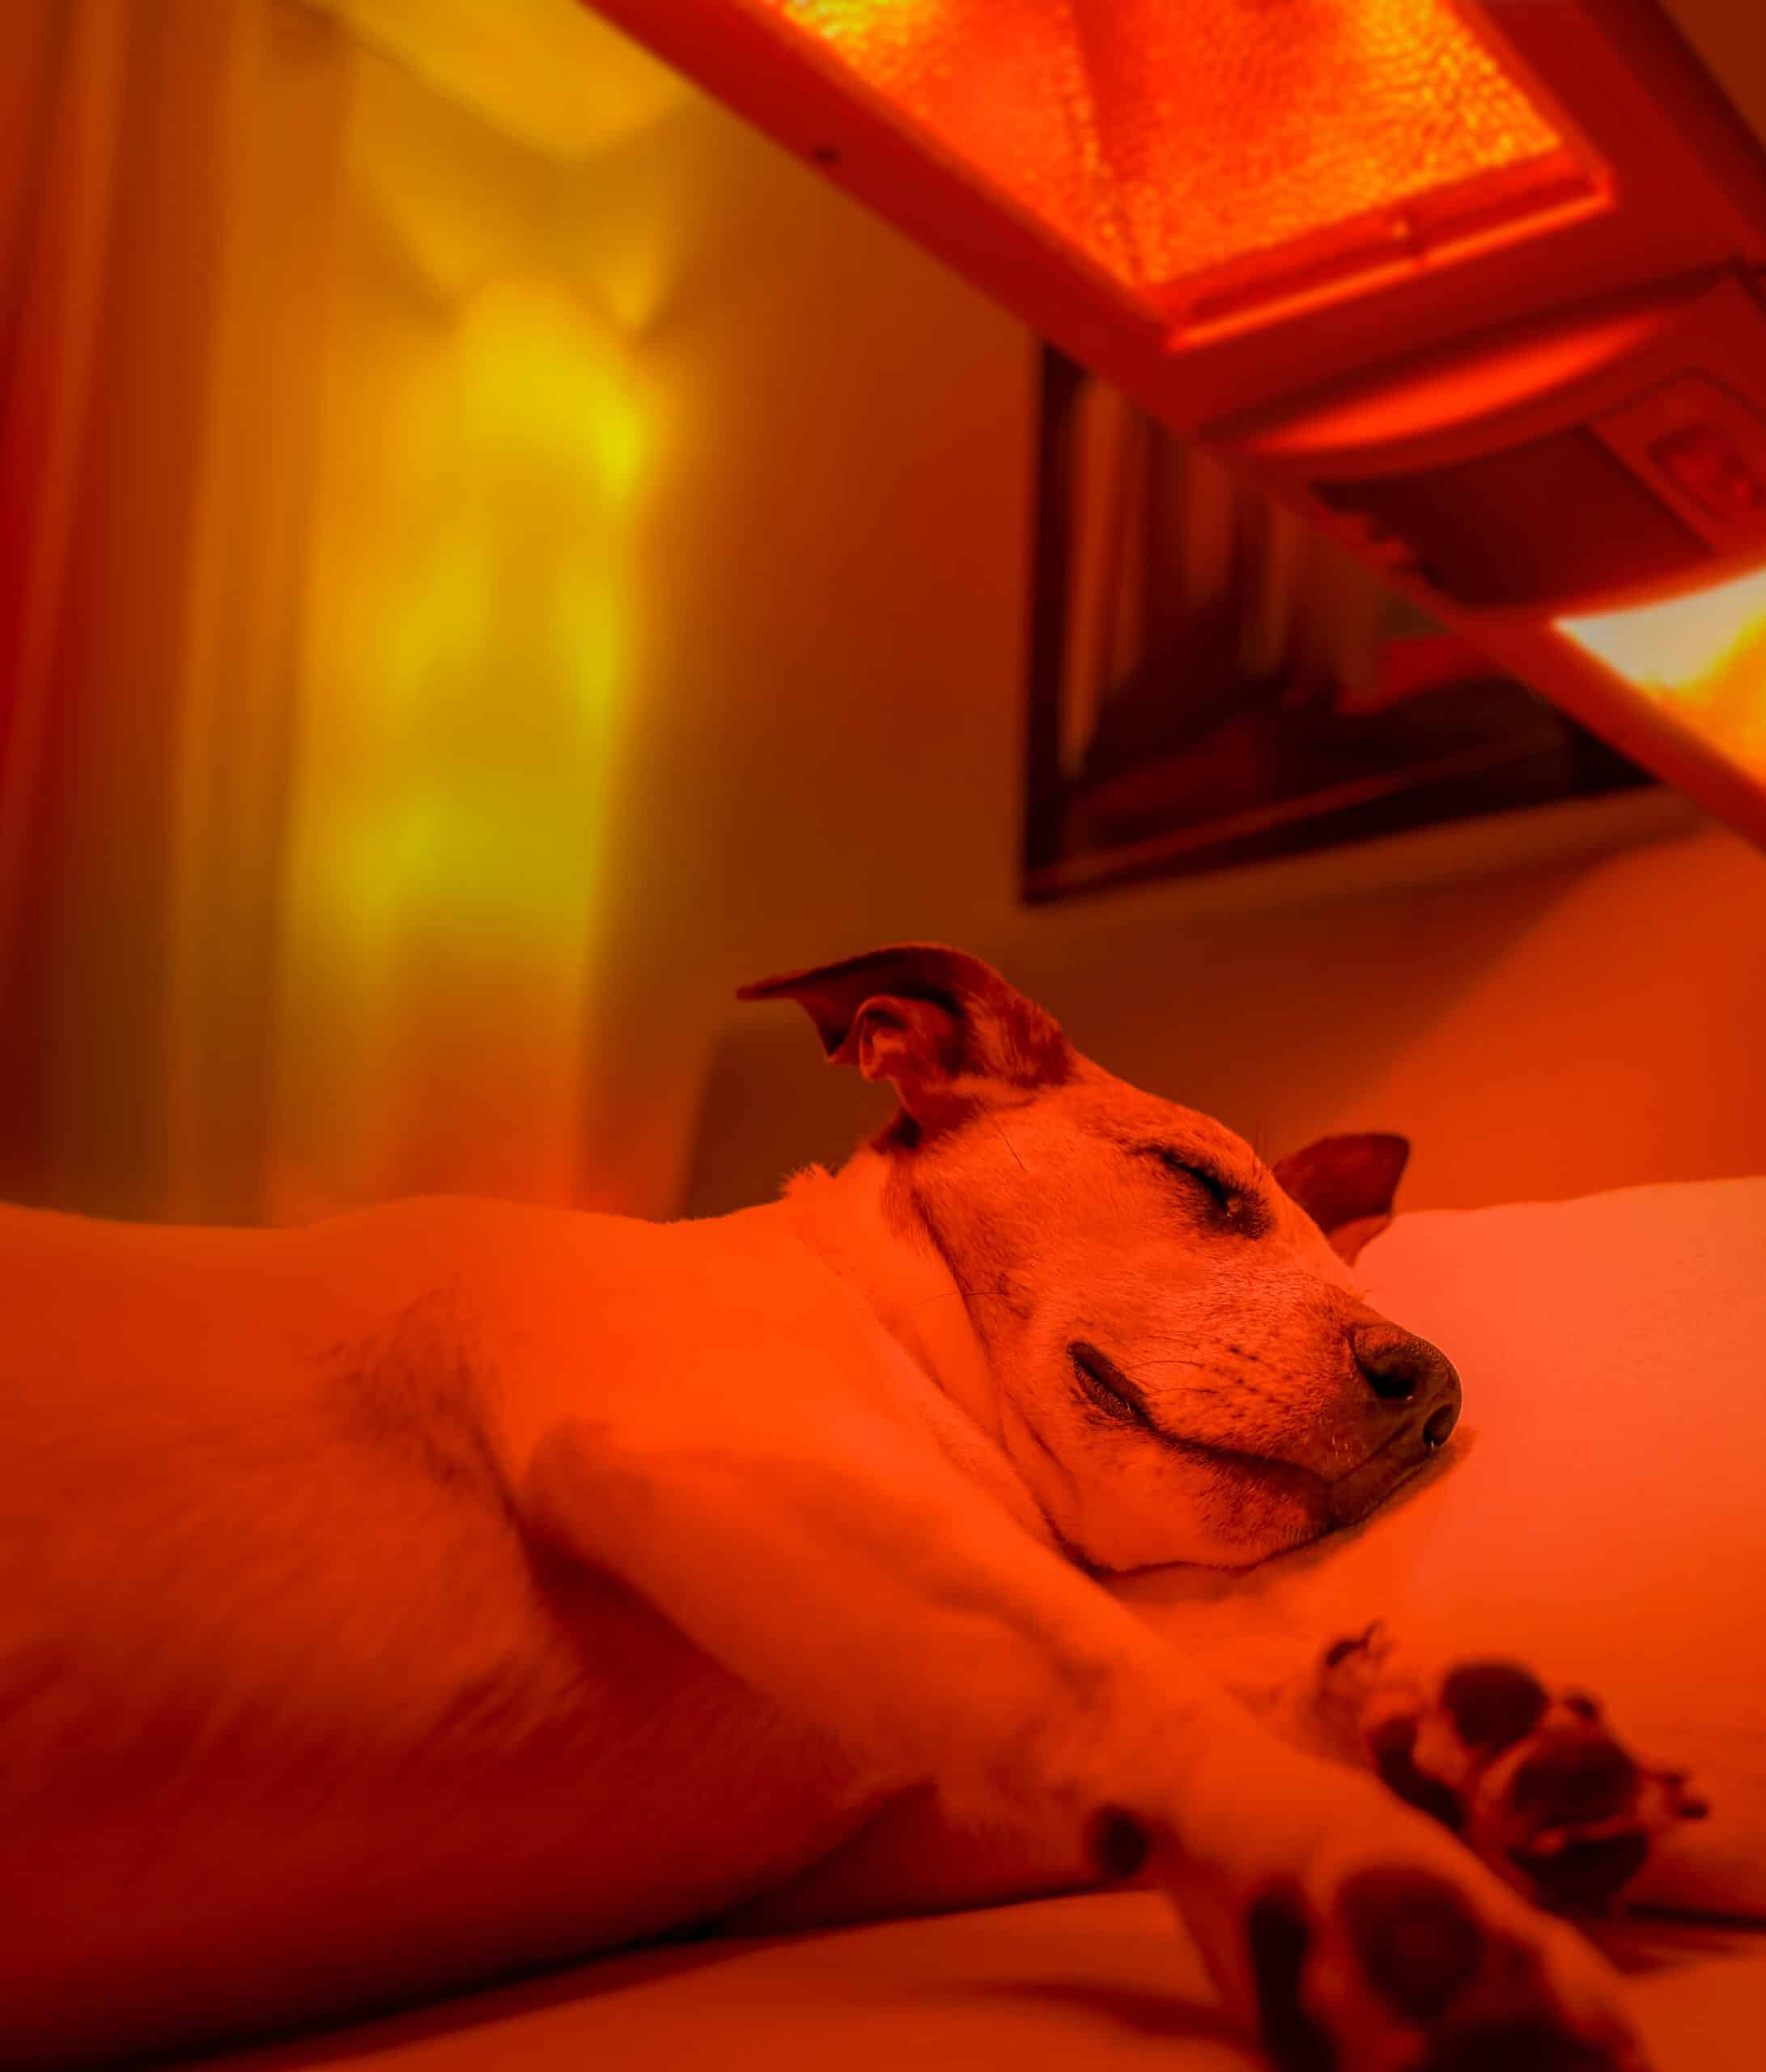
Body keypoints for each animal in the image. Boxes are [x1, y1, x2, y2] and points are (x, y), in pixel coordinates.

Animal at [2, 944, 1673, 2070]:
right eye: (1202, 1186)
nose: (1434, 1389)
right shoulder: (738, 1459)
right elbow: (1142, 1688)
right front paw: (1406, 1893)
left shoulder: (858, 1837)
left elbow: (1165, 1741)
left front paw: (1447, 1763)